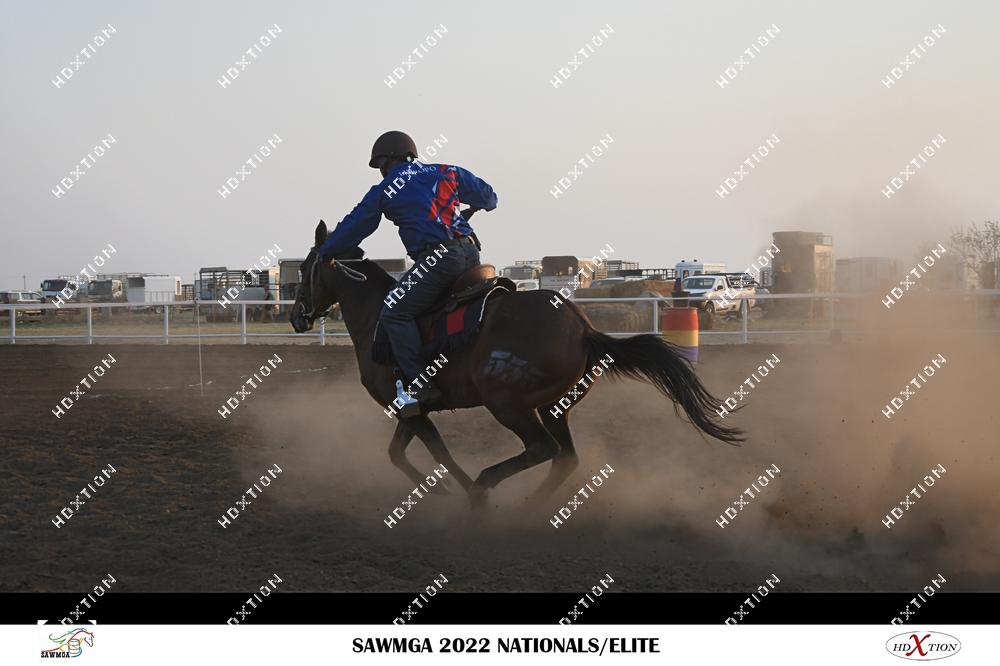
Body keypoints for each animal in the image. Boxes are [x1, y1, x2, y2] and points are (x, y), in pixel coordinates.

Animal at [290, 220, 742, 507]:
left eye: (306, 267)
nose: (297, 316)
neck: (377, 319)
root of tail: (581, 327)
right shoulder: (409, 408)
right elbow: (397, 454)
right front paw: (439, 491)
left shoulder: (411, 408)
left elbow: (436, 453)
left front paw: (463, 492)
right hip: (552, 406)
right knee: (565, 457)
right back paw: (528, 507)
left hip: (506, 403)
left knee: (542, 448)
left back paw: (486, 484)